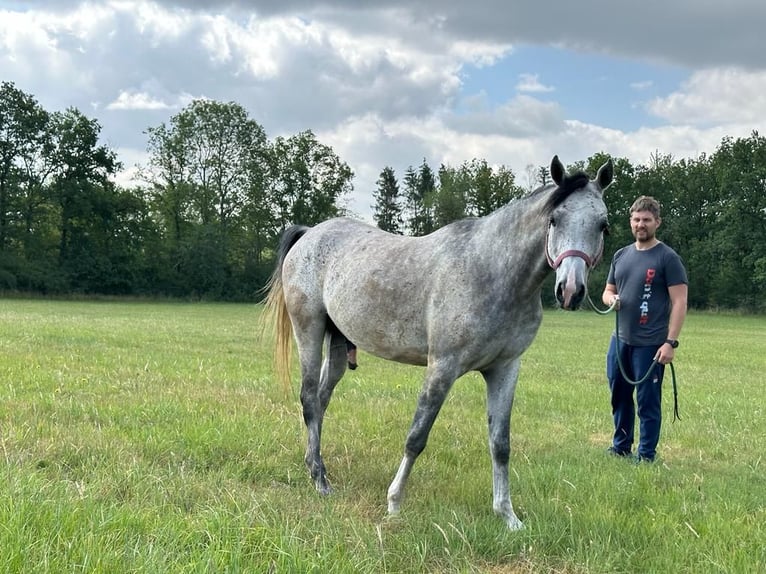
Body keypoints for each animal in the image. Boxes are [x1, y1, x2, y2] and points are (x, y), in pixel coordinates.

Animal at [268, 154, 616, 532]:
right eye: (554, 219)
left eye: (603, 225)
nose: (570, 290)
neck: (492, 272)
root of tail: (310, 234)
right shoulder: (442, 367)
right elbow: (417, 436)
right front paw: (394, 503)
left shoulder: (505, 369)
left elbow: (500, 444)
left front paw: (507, 516)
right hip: (309, 331)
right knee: (308, 400)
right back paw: (320, 481)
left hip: (336, 343)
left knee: (321, 400)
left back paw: (314, 466)